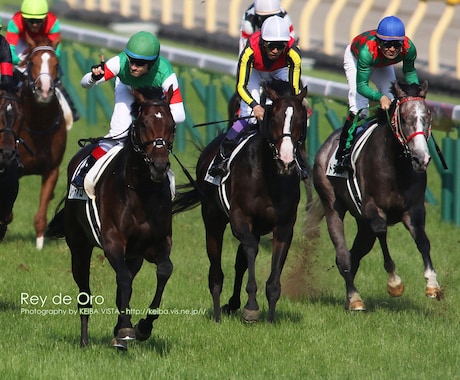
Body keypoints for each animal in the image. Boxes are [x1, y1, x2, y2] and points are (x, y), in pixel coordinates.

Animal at [45, 87, 176, 348]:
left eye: (172, 125)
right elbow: (123, 279)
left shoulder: (157, 243)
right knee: (85, 293)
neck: (142, 191)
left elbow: (164, 270)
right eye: (143, 124)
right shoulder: (113, 241)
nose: (159, 166)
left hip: (133, 255)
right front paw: (126, 328)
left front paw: (143, 327)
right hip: (79, 246)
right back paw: (85, 340)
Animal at [174, 81, 308, 322]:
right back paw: (218, 311)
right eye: (274, 118)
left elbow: (270, 271)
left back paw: (233, 303)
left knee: (240, 261)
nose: (286, 160)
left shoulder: (284, 226)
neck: (269, 177)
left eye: (301, 120)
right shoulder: (240, 218)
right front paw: (252, 307)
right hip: (213, 221)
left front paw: (270, 317)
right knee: (217, 269)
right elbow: (250, 249)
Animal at [312, 81, 442, 312]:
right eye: (404, 118)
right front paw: (395, 283)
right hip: (332, 204)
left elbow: (423, 241)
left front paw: (432, 285)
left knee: (354, 254)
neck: (395, 166)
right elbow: (382, 231)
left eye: (427, 117)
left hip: (363, 226)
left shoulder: (414, 209)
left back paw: (350, 297)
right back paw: (355, 299)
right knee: (343, 255)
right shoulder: (372, 208)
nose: (422, 159)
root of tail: (327, 144)